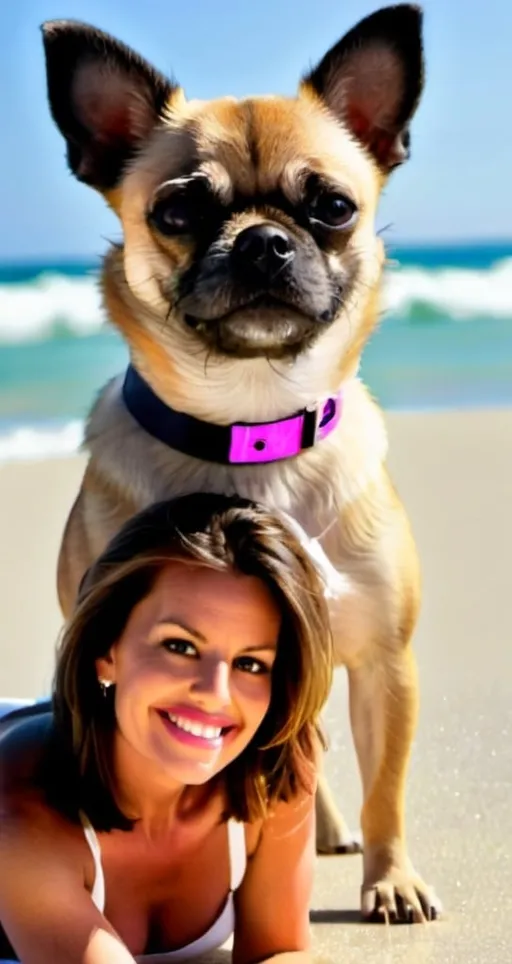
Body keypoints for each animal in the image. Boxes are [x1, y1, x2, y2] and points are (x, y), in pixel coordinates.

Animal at [40, 3, 440, 924]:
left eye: (333, 207)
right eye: (179, 211)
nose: (263, 243)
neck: (250, 426)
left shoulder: (385, 666)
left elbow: (388, 788)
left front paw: (392, 879)